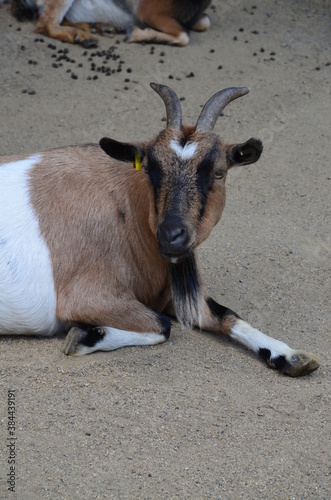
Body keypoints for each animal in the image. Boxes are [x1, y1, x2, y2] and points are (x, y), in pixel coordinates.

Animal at [0, 84, 322, 376]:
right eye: (149, 169)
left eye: (219, 172)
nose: (171, 236)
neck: (126, 211)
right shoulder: (86, 297)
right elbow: (162, 326)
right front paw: (84, 336)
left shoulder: (172, 295)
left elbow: (226, 314)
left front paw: (292, 356)